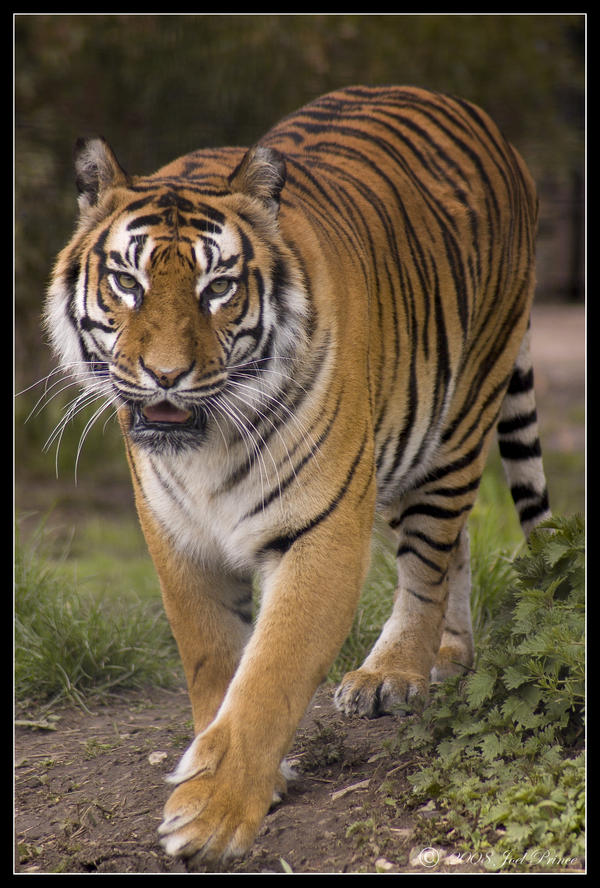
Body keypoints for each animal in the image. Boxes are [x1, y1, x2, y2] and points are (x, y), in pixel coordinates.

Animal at [44, 85, 550, 866]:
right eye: (127, 283)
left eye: (218, 286)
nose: (165, 375)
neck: (206, 446)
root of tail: (469, 109)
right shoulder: (177, 538)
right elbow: (214, 661)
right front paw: (229, 766)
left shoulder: (321, 533)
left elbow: (269, 676)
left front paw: (212, 814)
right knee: (456, 544)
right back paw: (447, 655)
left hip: (461, 412)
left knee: (431, 553)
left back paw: (396, 671)